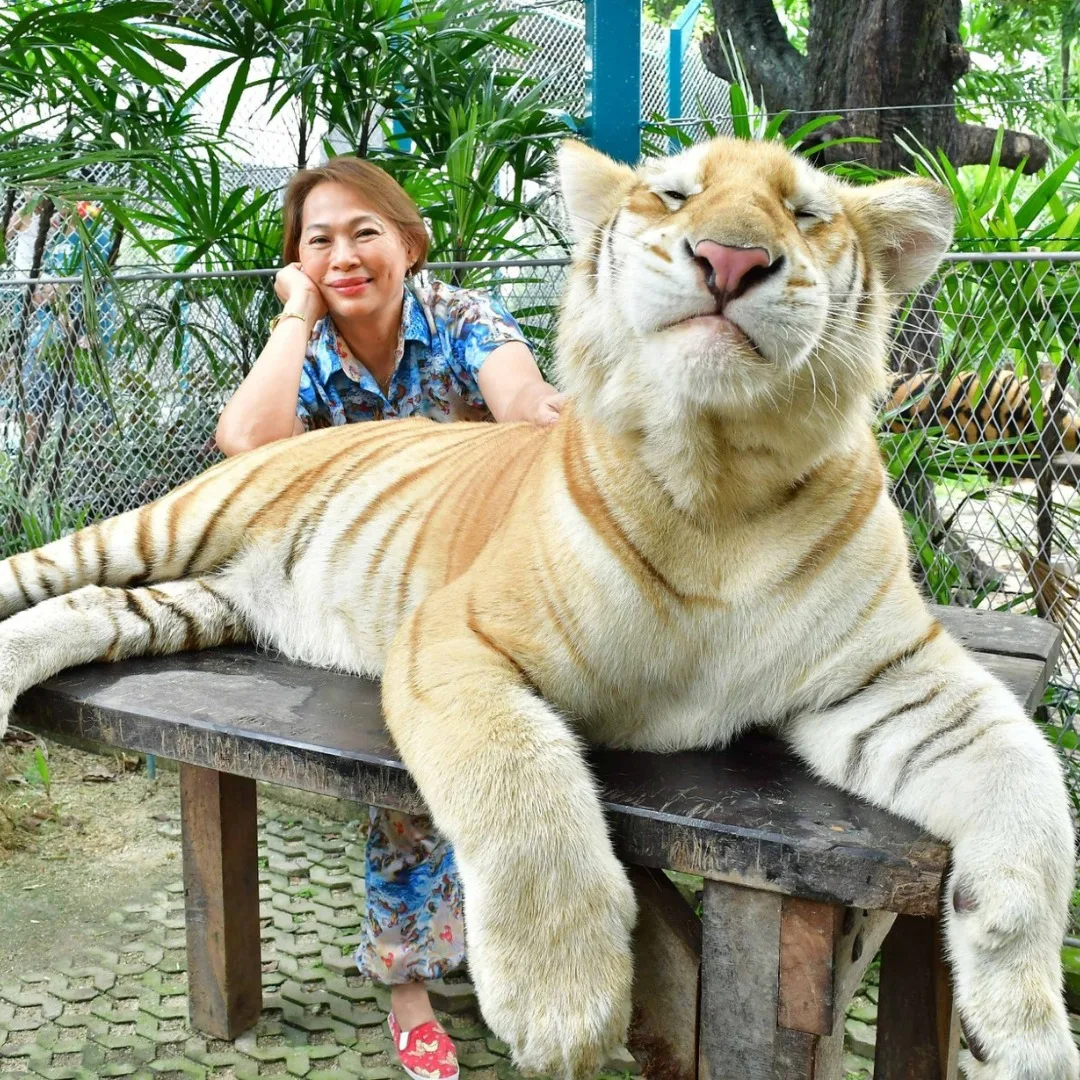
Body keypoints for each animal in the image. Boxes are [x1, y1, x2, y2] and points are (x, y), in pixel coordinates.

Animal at [0, 137, 1075, 1080]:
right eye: (675, 195)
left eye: (806, 213)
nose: (731, 258)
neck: (722, 476)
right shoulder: (456, 636)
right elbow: (521, 787)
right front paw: (561, 1002)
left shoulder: (891, 678)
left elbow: (1030, 804)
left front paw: (1023, 1036)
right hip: (166, 524)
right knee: (44, 569)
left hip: (198, 600)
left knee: (89, 609)